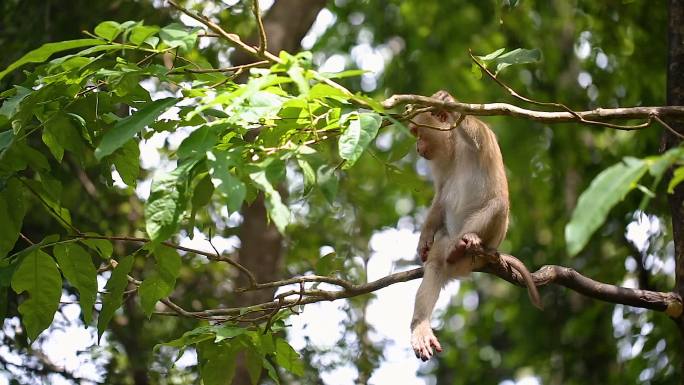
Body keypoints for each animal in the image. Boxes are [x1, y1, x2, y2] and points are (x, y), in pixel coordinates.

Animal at [408, 89, 544, 360]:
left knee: (499, 204)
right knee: (437, 263)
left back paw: (467, 241)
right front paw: (424, 238)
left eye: (418, 132)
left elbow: (474, 133)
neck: (454, 147)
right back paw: (421, 324)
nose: (417, 147)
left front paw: (447, 102)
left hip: (488, 241)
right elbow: (440, 198)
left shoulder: (482, 134)